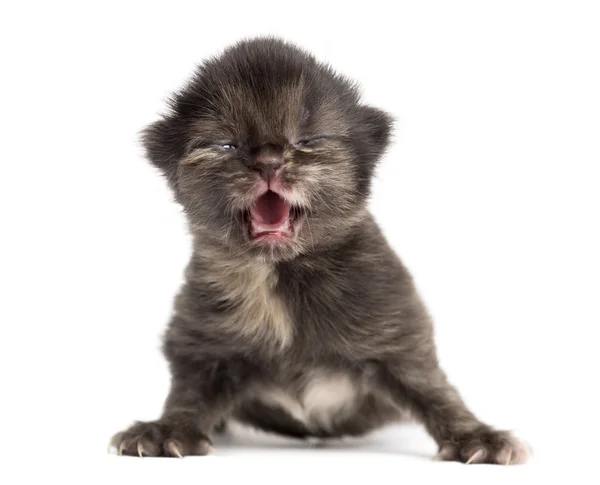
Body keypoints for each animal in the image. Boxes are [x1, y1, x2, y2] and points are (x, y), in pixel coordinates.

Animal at [110, 36, 528, 462]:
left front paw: (475, 436)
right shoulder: (201, 344)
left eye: (307, 141)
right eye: (226, 144)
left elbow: (431, 388)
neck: (278, 274)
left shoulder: (398, 332)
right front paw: (167, 429)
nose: (269, 163)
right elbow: (189, 393)